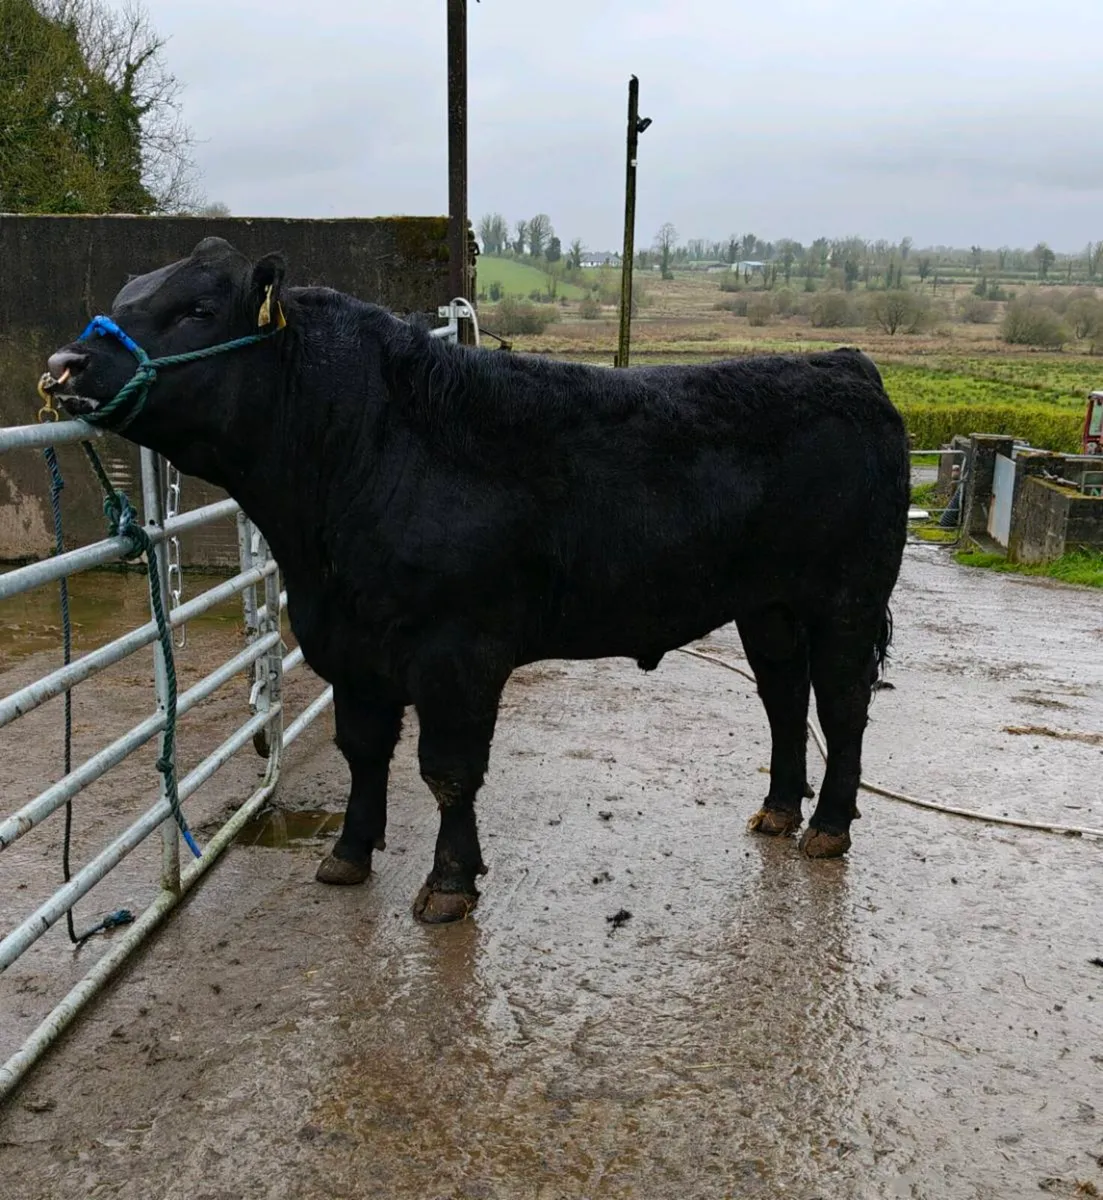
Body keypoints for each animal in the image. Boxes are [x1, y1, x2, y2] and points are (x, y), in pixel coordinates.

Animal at [44, 237, 910, 923]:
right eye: (123, 300)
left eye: (195, 308)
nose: (64, 364)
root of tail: (844, 365)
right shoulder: (348, 646)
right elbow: (363, 750)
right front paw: (348, 853)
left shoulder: (456, 653)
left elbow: (448, 772)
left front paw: (449, 884)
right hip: (767, 606)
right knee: (783, 697)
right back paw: (778, 811)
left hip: (847, 600)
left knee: (841, 705)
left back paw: (828, 828)